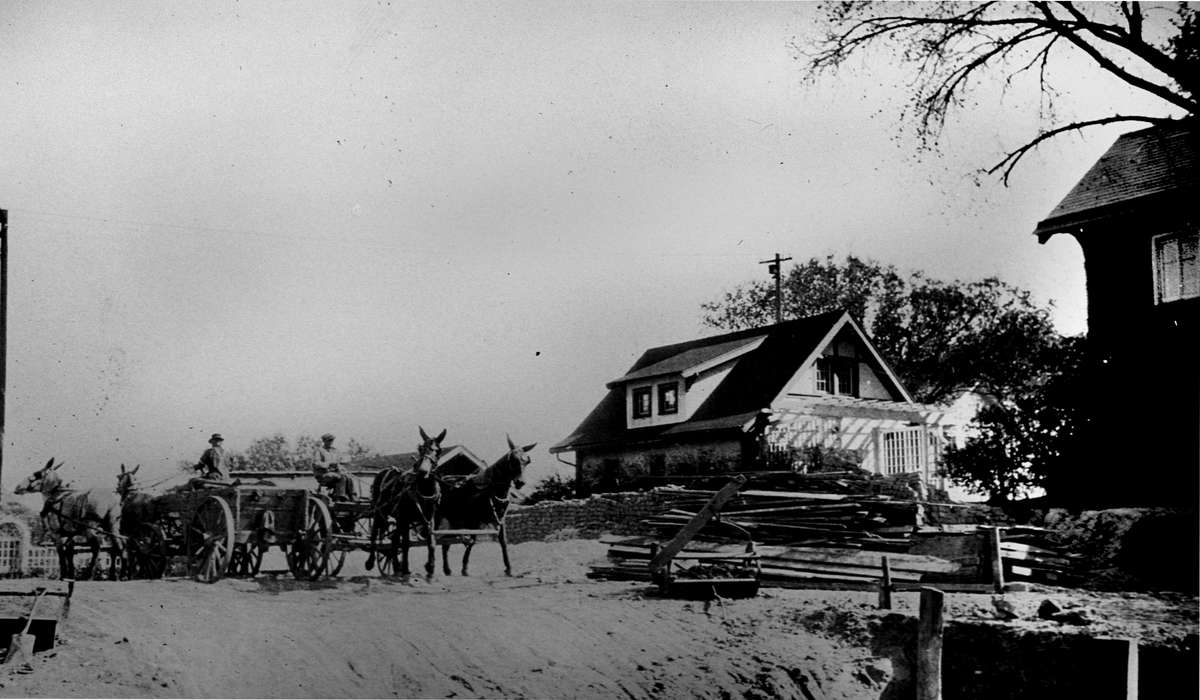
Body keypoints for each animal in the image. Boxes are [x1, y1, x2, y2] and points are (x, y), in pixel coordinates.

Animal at [364, 429, 451, 578]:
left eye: (438, 450)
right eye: (421, 448)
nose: (422, 471)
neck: (424, 491)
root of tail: (385, 470)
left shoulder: (429, 519)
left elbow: (431, 542)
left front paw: (430, 567)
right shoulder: (405, 518)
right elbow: (405, 543)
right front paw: (405, 568)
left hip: (398, 518)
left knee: (394, 539)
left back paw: (395, 564)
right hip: (379, 512)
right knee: (376, 533)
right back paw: (371, 562)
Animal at [436, 434, 535, 578]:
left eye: (527, 461)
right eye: (513, 460)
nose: (520, 482)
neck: (489, 490)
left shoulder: (501, 520)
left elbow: (503, 542)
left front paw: (509, 568)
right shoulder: (474, 520)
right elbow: (472, 540)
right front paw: (465, 568)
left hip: (454, 521)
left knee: (445, 542)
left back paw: (447, 569)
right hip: (441, 519)